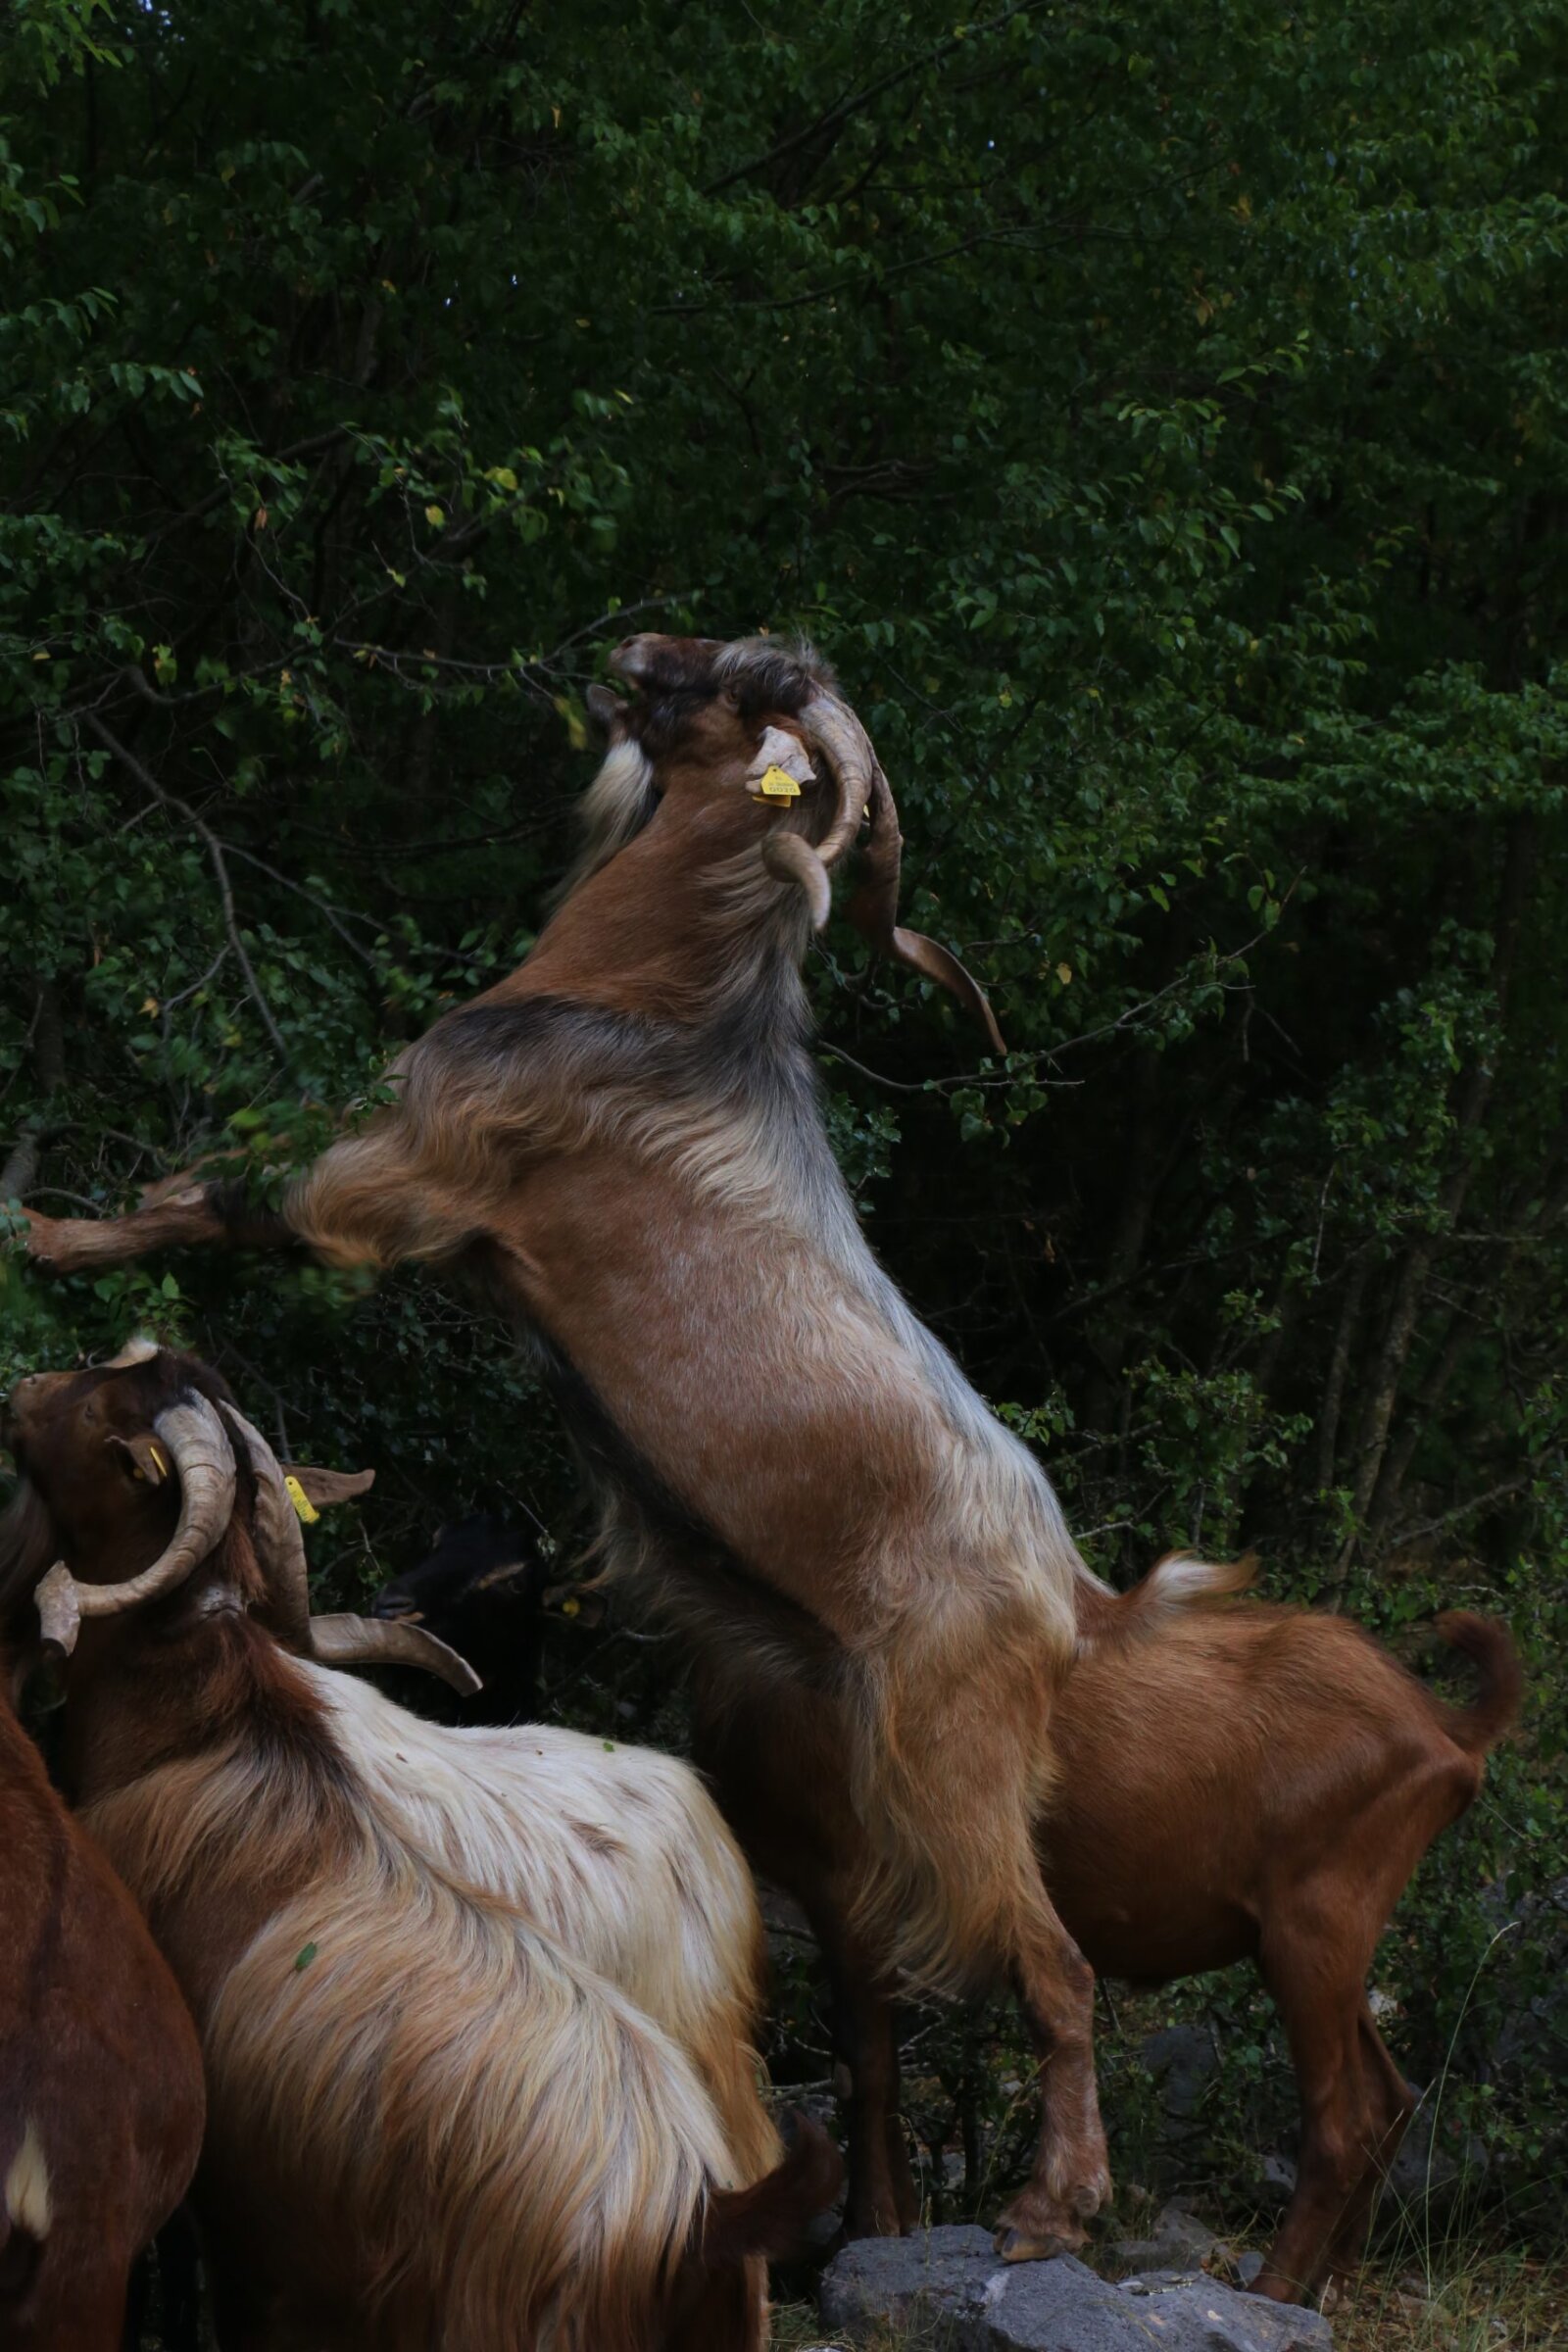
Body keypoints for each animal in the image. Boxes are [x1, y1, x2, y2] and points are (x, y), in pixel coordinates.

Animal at [21, 632, 1246, 2256]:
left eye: (742, 681)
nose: (629, 652)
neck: (658, 1003)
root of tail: (1077, 1604)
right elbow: (206, 1180)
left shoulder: (407, 1177)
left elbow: (217, 1194)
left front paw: (42, 1231)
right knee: (872, 1996)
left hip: (955, 1766)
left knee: (1051, 1964)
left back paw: (1053, 2207)